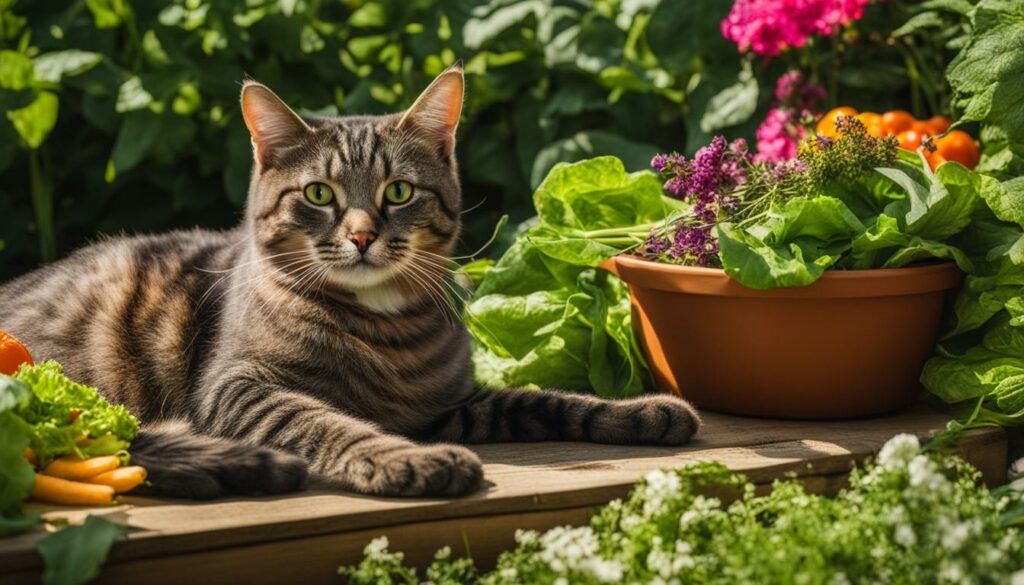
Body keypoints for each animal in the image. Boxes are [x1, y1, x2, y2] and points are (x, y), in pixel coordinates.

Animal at [0, 65, 700, 499]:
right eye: (319, 194)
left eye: (398, 191)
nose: (362, 235)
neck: (383, 329)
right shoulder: (238, 387)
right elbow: (329, 423)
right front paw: (406, 459)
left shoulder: (449, 405)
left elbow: (541, 400)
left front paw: (639, 411)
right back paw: (244, 468)